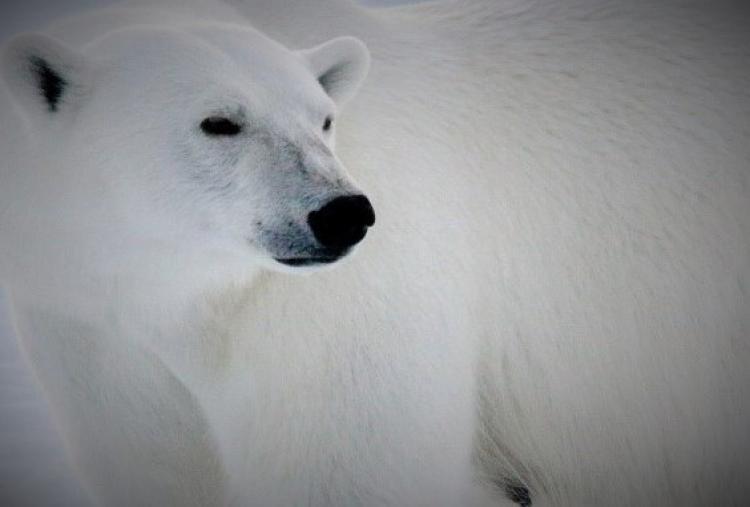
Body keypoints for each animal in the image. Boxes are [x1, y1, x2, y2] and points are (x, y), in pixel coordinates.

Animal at [0, 0, 748, 506]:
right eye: (219, 121)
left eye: (324, 118)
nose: (342, 214)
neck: (183, 288)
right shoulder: (87, 322)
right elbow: (161, 464)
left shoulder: (343, 318)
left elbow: (348, 471)